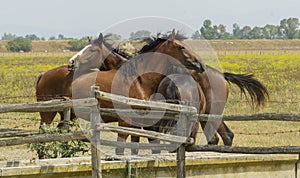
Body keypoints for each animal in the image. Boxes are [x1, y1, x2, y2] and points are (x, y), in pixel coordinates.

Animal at [71, 29, 206, 154]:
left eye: (92, 50)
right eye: (181, 47)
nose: (201, 63)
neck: (138, 80)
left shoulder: (137, 123)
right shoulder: (127, 122)